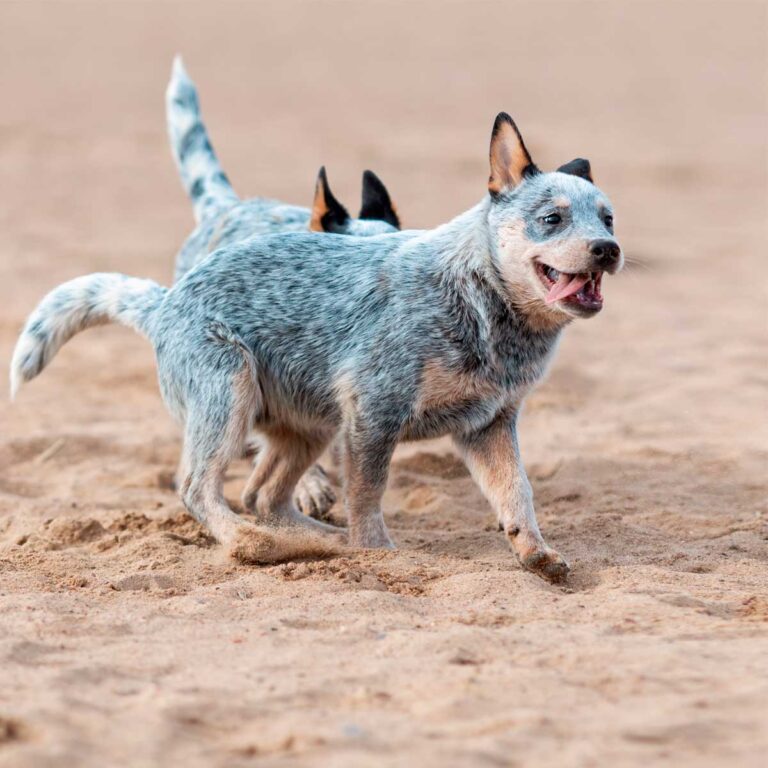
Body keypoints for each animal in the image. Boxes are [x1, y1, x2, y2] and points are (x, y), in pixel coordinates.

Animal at [10, 112, 624, 584]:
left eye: (609, 218)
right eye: (551, 218)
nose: (608, 249)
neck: (479, 301)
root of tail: (165, 302)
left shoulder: (489, 424)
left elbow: (516, 492)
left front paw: (536, 552)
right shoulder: (375, 410)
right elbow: (368, 493)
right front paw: (377, 553)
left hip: (310, 423)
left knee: (262, 495)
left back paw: (310, 540)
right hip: (229, 391)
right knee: (197, 488)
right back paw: (254, 544)